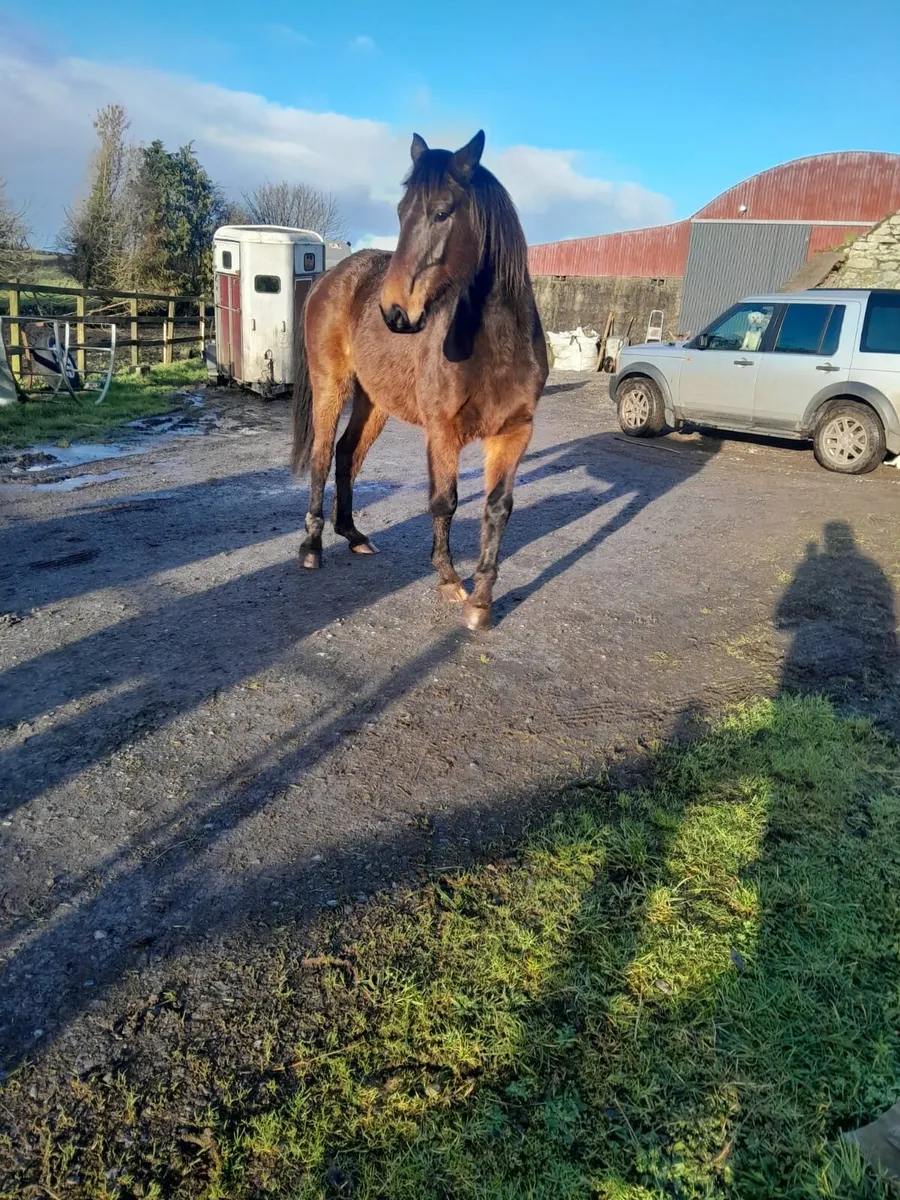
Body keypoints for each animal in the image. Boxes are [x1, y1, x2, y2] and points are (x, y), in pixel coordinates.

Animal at [291, 130, 548, 631]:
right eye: (399, 211)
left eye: (443, 212)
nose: (394, 312)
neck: (494, 346)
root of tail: (328, 278)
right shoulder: (442, 431)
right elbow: (444, 501)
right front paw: (449, 580)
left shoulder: (514, 433)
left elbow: (498, 509)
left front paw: (481, 603)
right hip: (332, 386)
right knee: (321, 457)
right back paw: (312, 548)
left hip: (374, 401)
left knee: (346, 454)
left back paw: (353, 534)